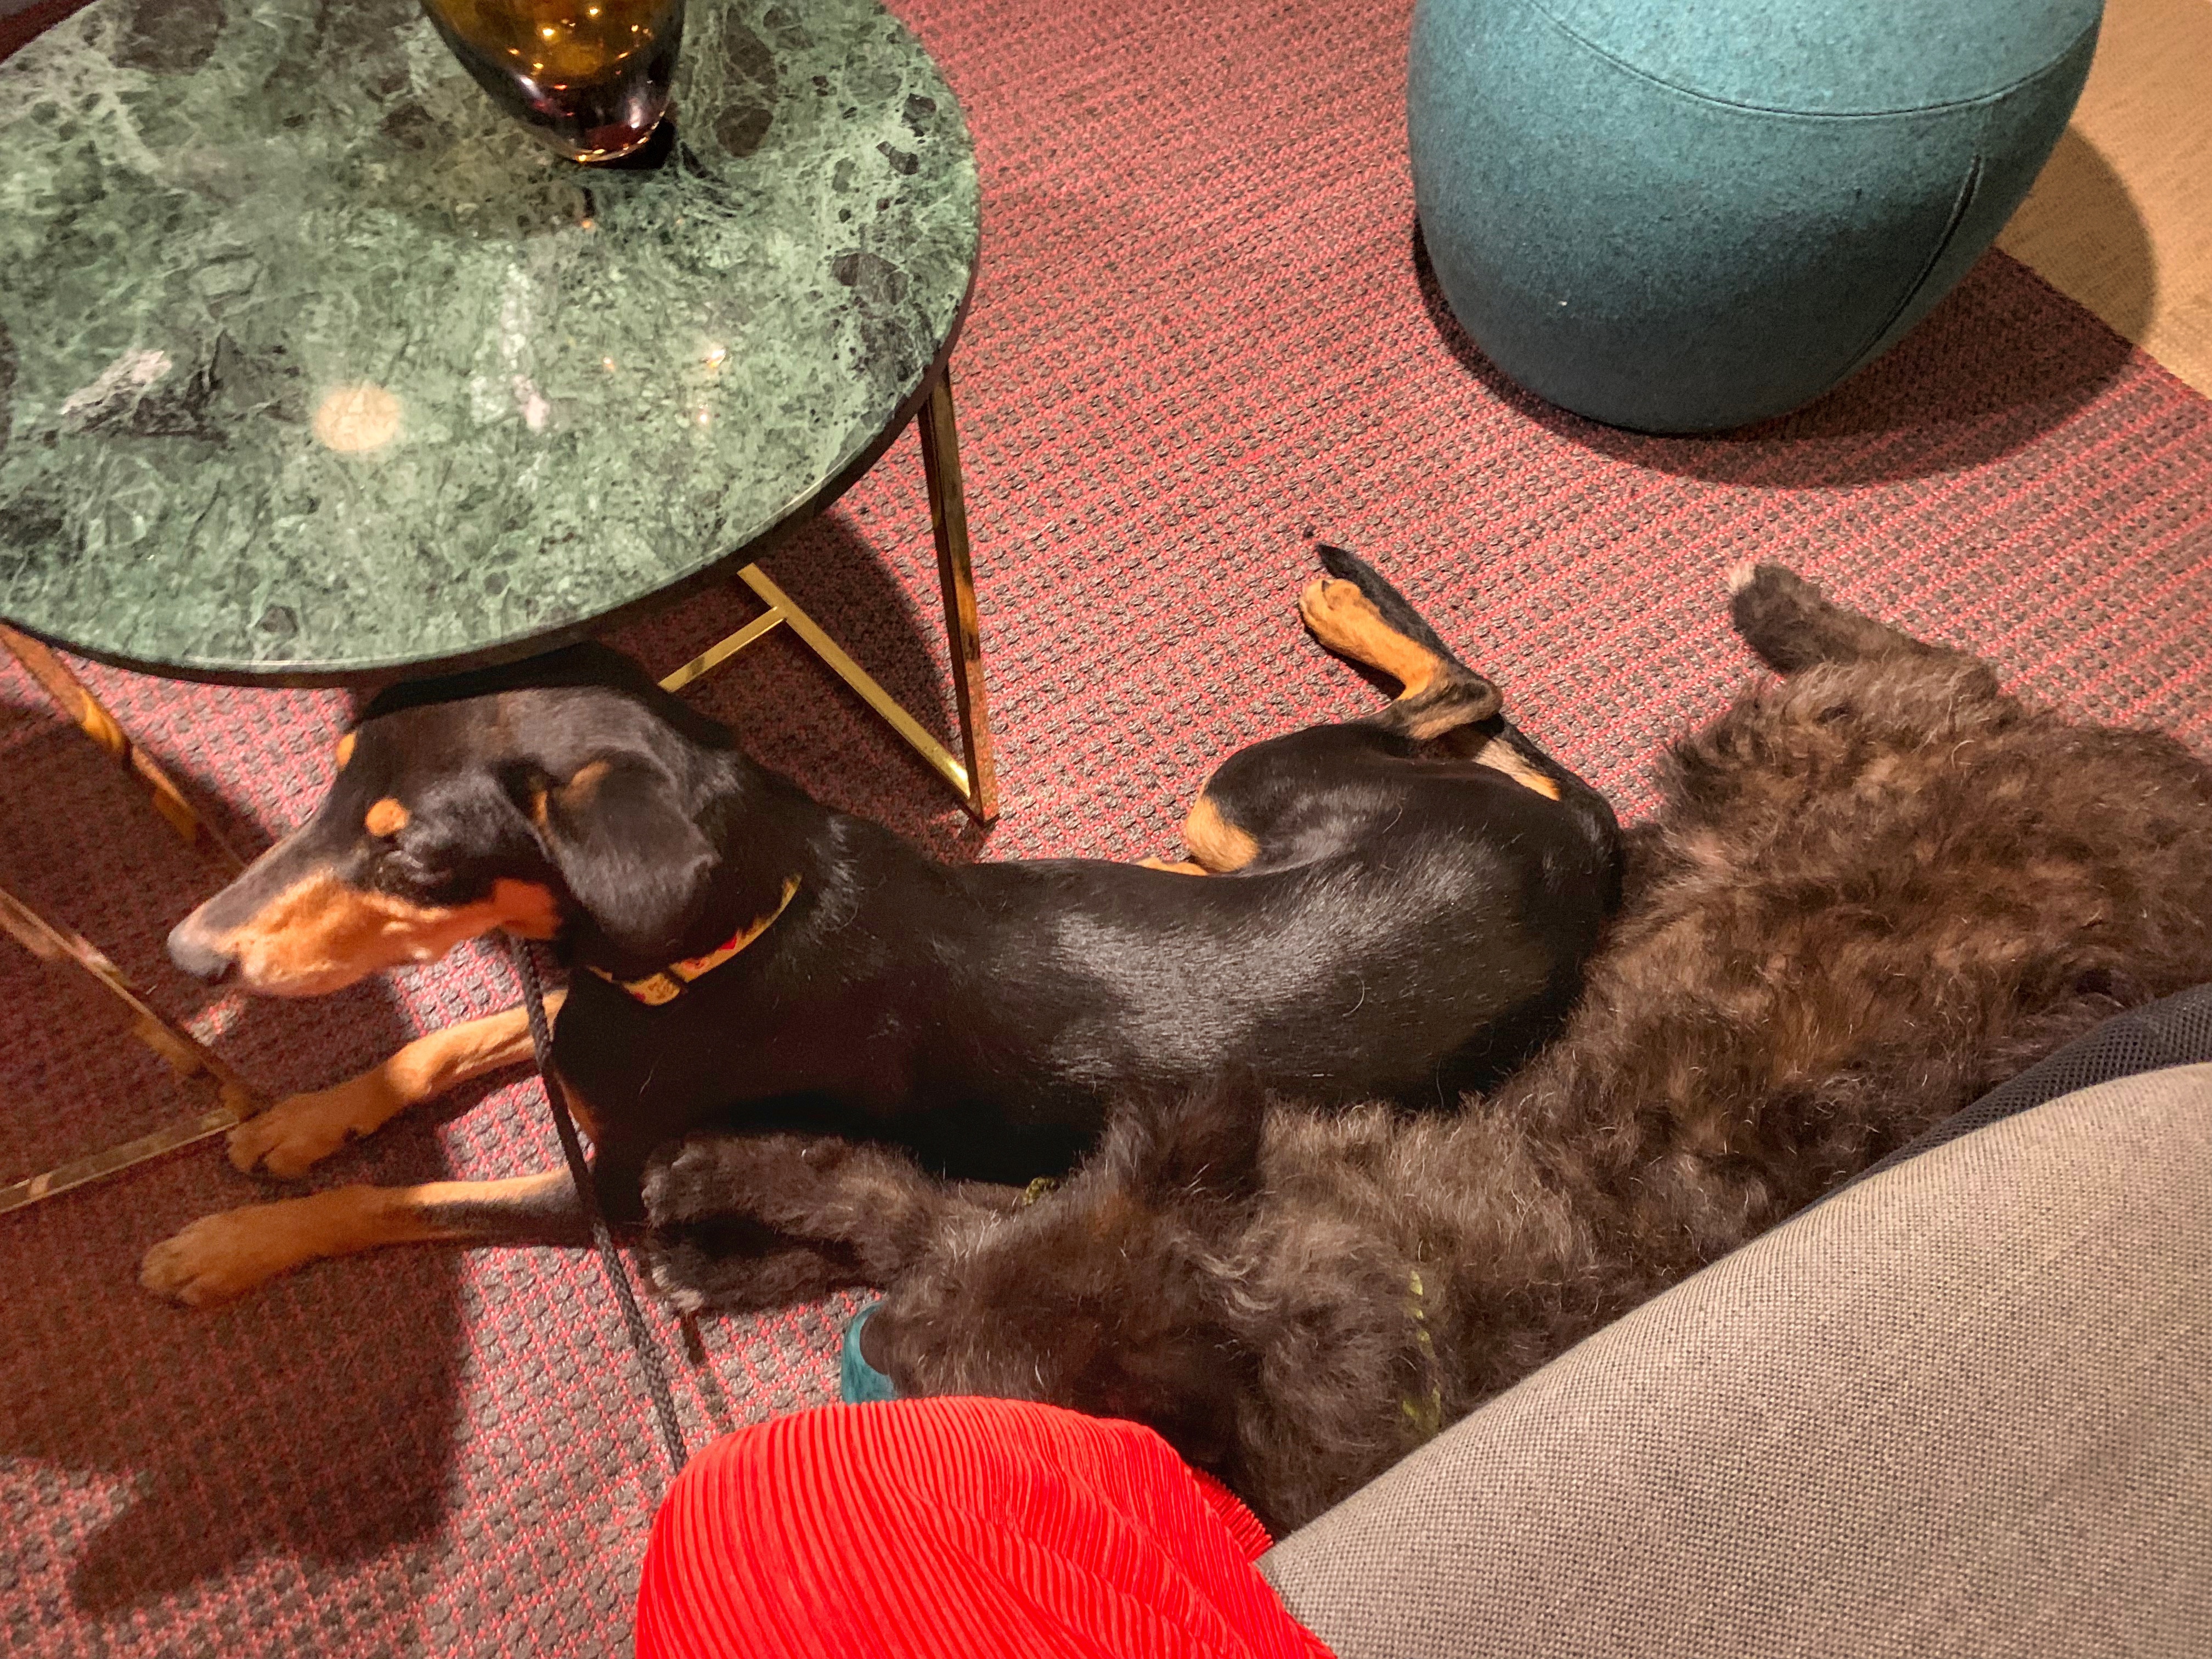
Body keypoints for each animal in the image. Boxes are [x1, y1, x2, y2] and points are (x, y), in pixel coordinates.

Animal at [139, 548, 1622, 1307]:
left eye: (418, 856)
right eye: (332, 790)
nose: (189, 958)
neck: (729, 939)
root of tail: (1583, 858)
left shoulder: (609, 1186)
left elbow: (409, 1200)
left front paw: (220, 1248)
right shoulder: (591, 1015)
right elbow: (446, 1046)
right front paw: (294, 1121)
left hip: (1246, 789)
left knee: (1467, 694)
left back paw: (1359, 611)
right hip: (1242, 823)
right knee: (1480, 720)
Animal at [639, 564, 2212, 1532]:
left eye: (992, 1409)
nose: (879, 1350)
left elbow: (870, 1185)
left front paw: (707, 1218)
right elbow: (855, 1184)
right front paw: (712, 1216)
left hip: (1307, 791)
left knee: (1482, 696)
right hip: (1745, 785)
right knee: (1515, 716)